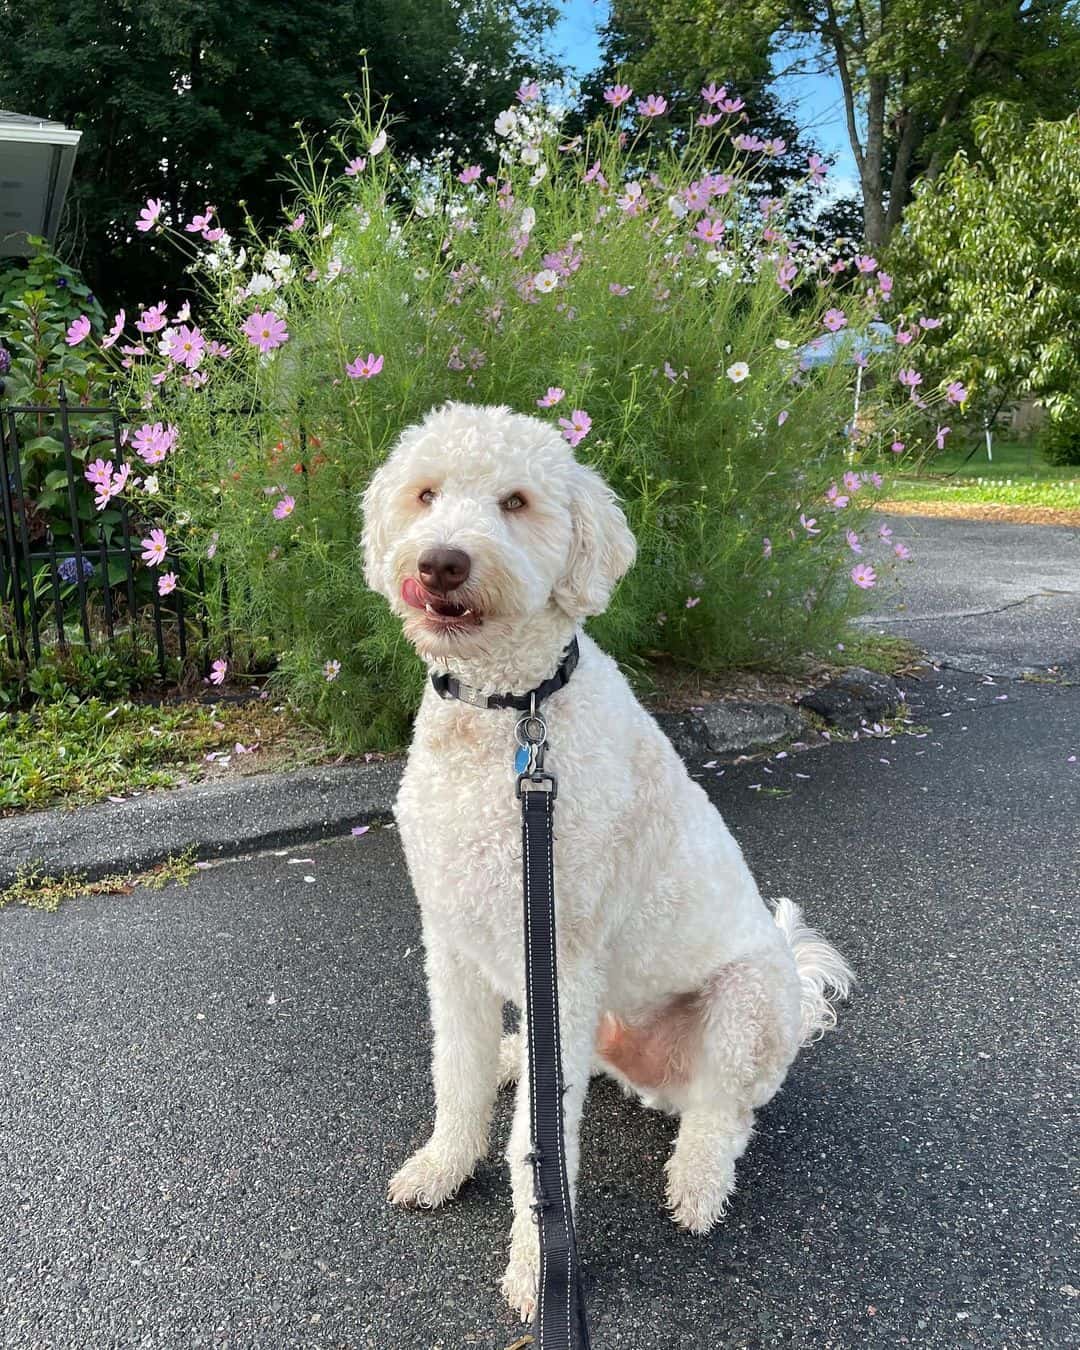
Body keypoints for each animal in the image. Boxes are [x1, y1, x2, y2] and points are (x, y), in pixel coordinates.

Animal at [361, 399, 853, 1317]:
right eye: (426, 493)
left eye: (515, 501)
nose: (442, 561)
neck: (509, 715)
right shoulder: (451, 941)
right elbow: (455, 1071)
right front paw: (445, 1164)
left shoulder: (562, 953)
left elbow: (538, 1149)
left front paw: (535, 1270)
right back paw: (519, 1060)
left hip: (745, 1003)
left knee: (726, 1115)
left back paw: (697, 1186)